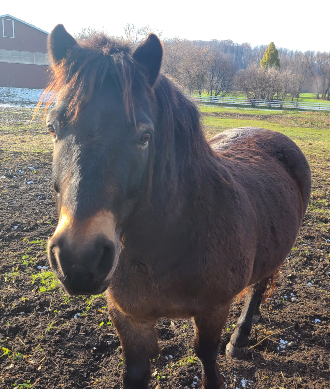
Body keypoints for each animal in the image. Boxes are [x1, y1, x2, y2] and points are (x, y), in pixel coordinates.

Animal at [44, 24, 312, 388]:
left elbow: (207, 355)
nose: (79, 258)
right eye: (53, 128)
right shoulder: (130, 317)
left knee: (258, 287)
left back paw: (240, 339)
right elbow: (136, 371)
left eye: (145, 136)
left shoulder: (213, 310)